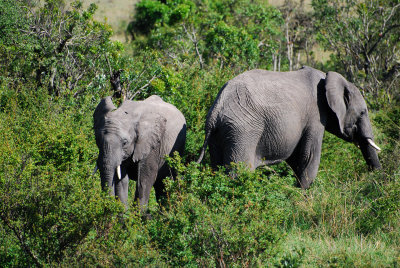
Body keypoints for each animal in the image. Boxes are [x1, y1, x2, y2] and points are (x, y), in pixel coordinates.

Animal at [197, 66, 382, 188]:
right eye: (363, 113)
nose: (374, 177)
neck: (328, 77)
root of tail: (216, 110)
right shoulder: (315, 115)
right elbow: (309, 157)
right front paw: (302, 196)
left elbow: (296, 158)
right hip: (242, 131)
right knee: (239, 173)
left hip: (220, 133)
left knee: (217, 168)